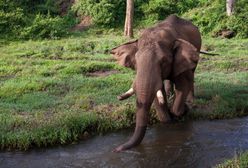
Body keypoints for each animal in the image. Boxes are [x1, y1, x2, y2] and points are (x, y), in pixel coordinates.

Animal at [110, 14, 202, 152]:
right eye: (136, 60)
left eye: (163, 61)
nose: (117, 149)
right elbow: (157, 93)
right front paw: (167, 117)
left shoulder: (182, 60)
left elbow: (183, 85)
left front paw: (183, 110)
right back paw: (170, 95)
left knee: (192, 73)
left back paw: (191, 101)